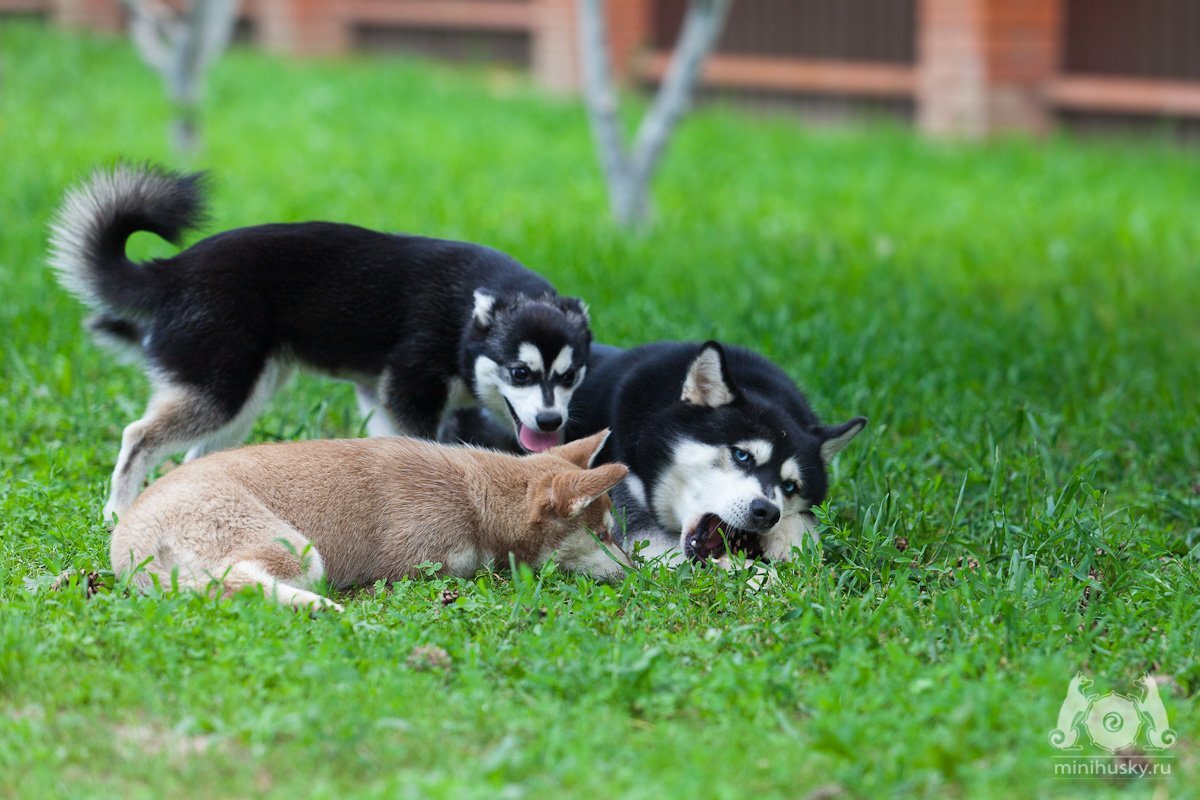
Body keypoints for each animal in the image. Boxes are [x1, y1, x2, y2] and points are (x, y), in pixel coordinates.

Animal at [49, 164, 592, 518]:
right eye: (520, 373)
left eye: (569, 376)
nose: (551, 421)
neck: (466, 317)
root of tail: (172, 271)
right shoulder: (408, 389)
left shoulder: (379, 395)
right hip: (221, 390)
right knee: (137, 436)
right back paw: (118, 510)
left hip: (244, 395)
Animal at [109, 430, 632, 611]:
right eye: (604, 535)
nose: (637, 573)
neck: (475, 498)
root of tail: (129, 541)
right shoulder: (419, 565)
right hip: (297, 550)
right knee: (236, 582)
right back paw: (322, 607)